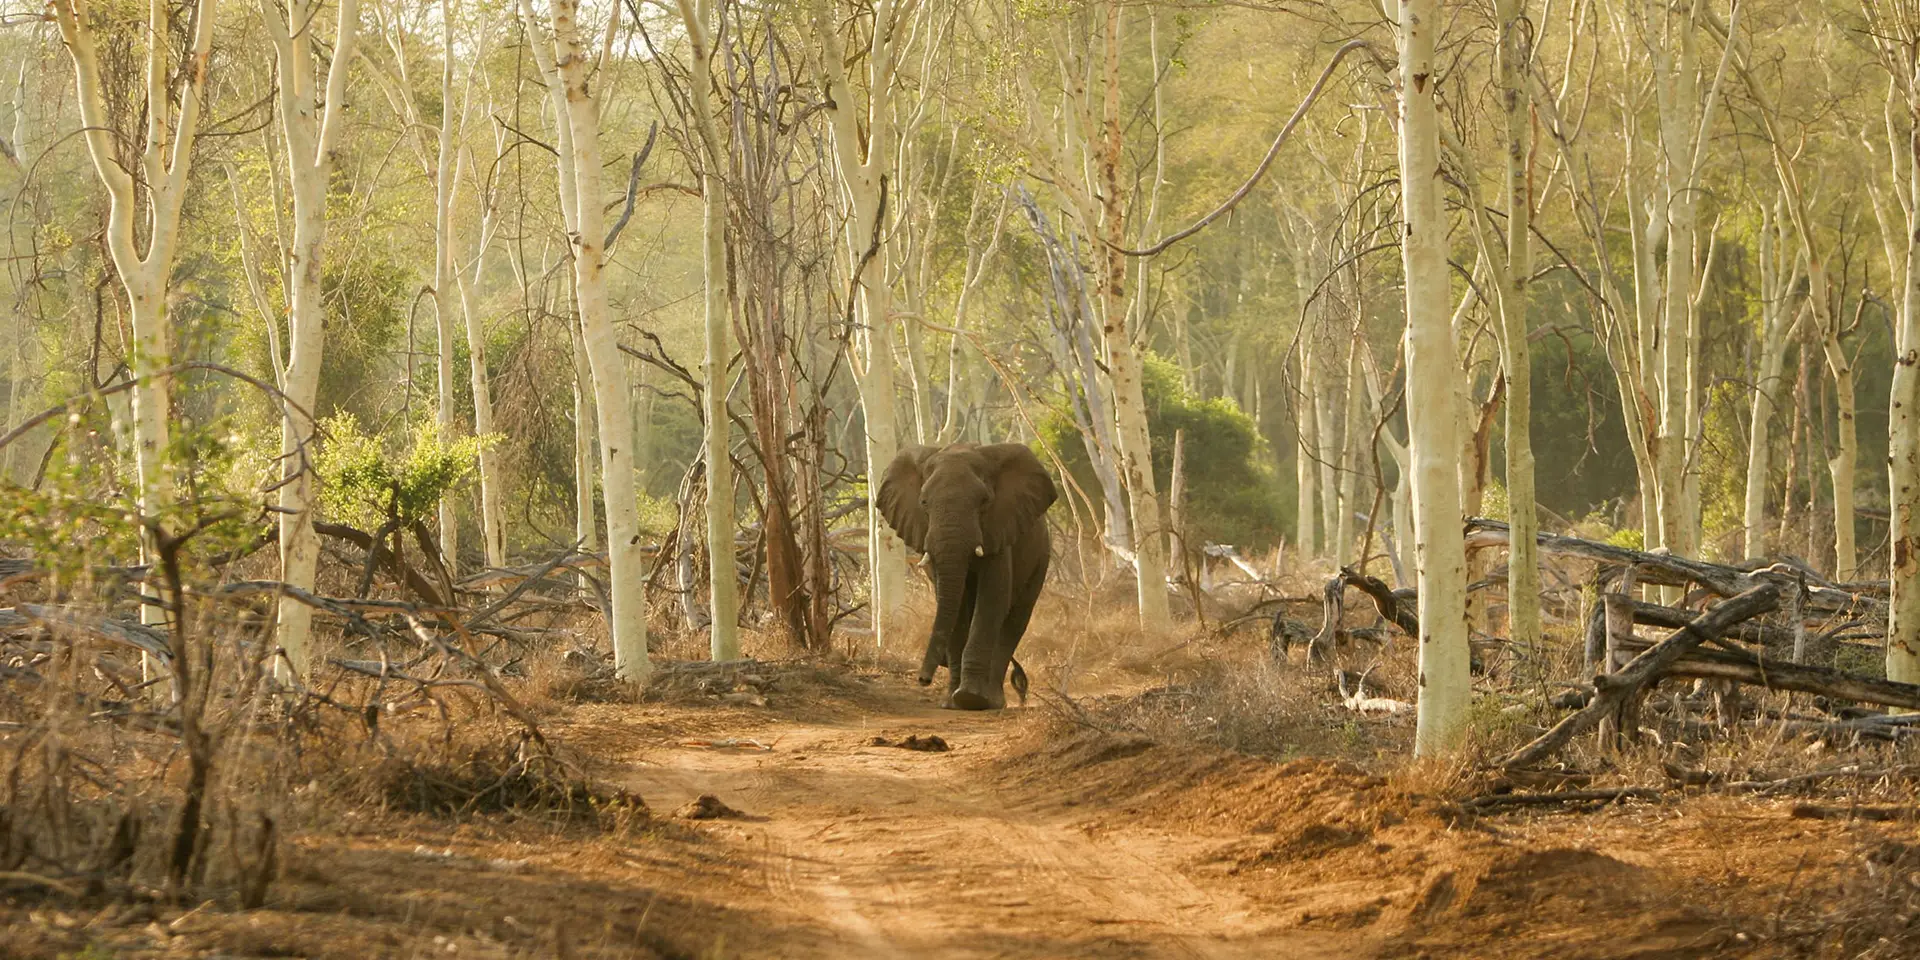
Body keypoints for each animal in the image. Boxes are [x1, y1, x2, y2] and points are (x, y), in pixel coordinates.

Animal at [879, 445, 1059, 710]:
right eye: (924, 502)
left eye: (984, 502)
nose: (923, 680)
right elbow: (956, 606)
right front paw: (952, 703)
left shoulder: (999, 531)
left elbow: (992, 599)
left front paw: (970, 698)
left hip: (1040, 559)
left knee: (1015, 621)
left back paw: (992, 700)